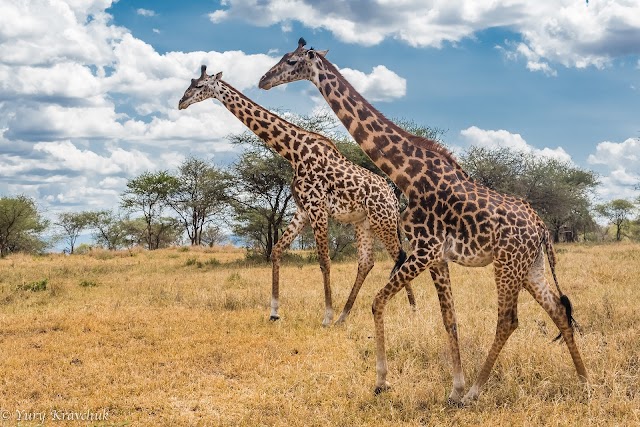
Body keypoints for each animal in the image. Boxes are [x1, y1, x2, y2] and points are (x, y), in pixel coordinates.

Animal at [178, 66, 418, 328]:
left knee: (400, 255)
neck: (294, 152)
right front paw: (274, 312)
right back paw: (344, 316)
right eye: (190, 82)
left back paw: (411, 310)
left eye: (200, 86)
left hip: (382, 220)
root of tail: (393, 197)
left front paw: (326, 316)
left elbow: (324, 260)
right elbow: (277, 250)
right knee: (367, 262)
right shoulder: (302, 209)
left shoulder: (317, 207)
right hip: (363, 222)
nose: (181, 102)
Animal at [258, 36, 588, 404]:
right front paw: (454, 387)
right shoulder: (436, 257)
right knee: (558, 310)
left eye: (291, 61)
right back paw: (585, 383)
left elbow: (377, 302)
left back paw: (477, 391)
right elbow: (449, 319)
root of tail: (542, 228)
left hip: (507, 265)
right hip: (531, 267)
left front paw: (383, 382)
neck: (407, 175)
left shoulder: (424, 250)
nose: (263, 80)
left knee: (508, 320)